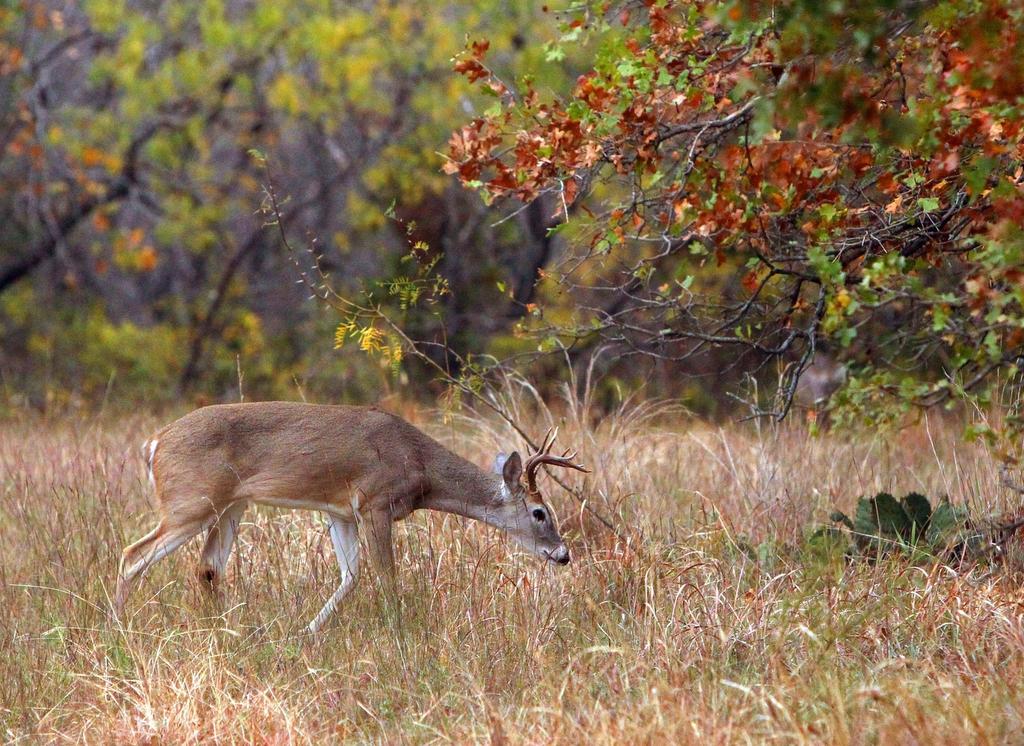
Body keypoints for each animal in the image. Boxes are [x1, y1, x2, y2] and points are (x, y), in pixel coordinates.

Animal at [114, 401, 588, 633]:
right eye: (540, 512)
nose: (563, 554)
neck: (419, 465)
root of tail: (154, 444)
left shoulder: (340, 511)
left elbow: (351, 575)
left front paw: (306, 633)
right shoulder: (375, 502)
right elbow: (386, 576)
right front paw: (401, 632)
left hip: (231, 505)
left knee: (208, 568)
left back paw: (226, 631)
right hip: (188, 501)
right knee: (132, 554)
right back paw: (118, 628)